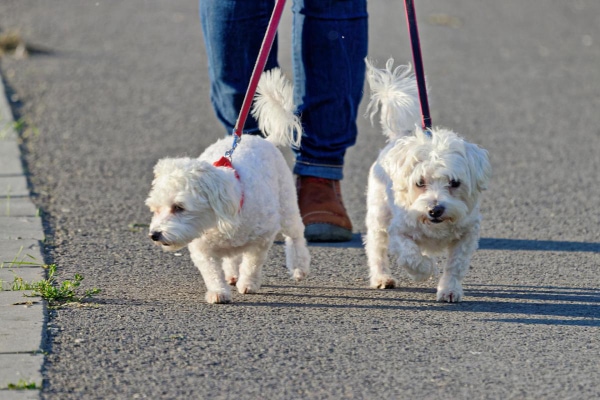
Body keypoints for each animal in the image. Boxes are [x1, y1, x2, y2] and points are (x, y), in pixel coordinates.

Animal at [146, 69, 310, 306]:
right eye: (155, 209)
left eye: (179, 207)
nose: (154, 235)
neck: (219, 219)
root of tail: (265, 140)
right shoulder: (202, 248)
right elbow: (211, 271)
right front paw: (218, 291)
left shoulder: (261, 239)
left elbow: (252, 263)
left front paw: (248, 283)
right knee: (232, 257)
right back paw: (231, 274)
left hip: (287, 205)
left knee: (295, 235)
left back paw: (298, 266)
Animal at [364, 59, 490, 302]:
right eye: (419, 182)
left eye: (454, 183)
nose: (435, 209)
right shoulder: (398, 230)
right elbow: (410, 255)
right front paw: (425, 269)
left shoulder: (467, 234)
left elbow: (455, 265)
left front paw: (449, 290)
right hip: (379, 214)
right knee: (376, 249)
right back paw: (382, 277)